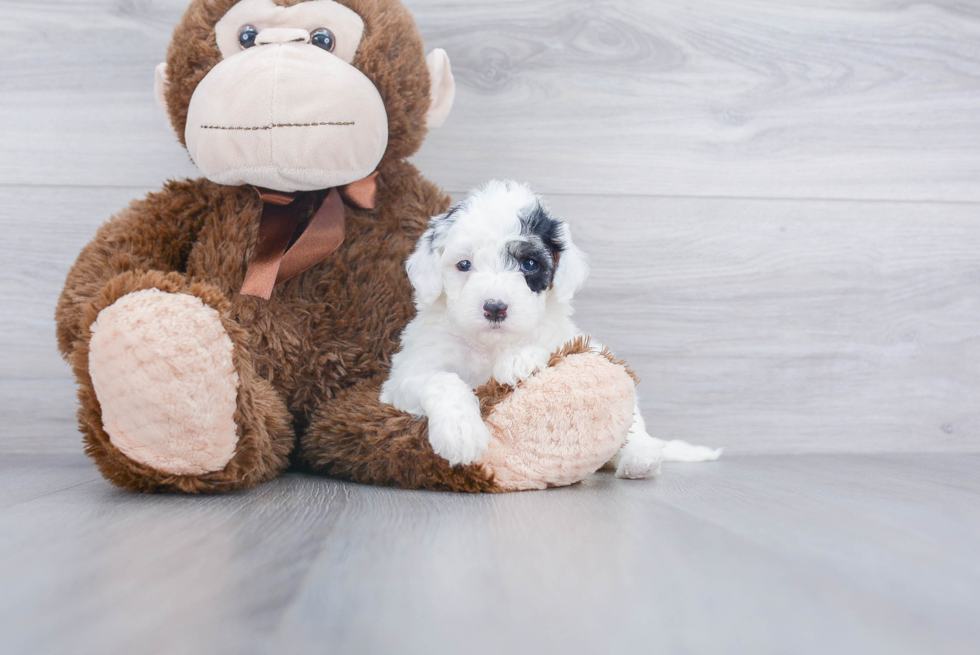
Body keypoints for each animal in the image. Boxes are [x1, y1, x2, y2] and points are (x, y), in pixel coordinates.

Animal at [380, 182, 720, 480]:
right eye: (464, 265)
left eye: (529, 264)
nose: (495, 307)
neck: (490, 345)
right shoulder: (403, 378)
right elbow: (442, 380)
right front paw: (461, 432)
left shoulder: (565, 338)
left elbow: (548, 346)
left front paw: (518, 361)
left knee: (633, 428)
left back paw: (641, 459)